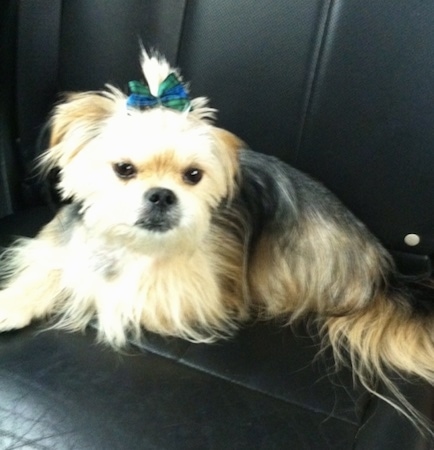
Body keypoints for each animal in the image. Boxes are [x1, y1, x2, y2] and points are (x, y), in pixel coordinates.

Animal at [0, 50, 434, 432]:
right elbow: (51, 267)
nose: (162, 195)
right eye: (124, 169)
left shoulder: (190, 294)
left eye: (193, 175)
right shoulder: (61, 243)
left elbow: (108, 291)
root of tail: (384, 270)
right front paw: (14, 303)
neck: (130, 245)